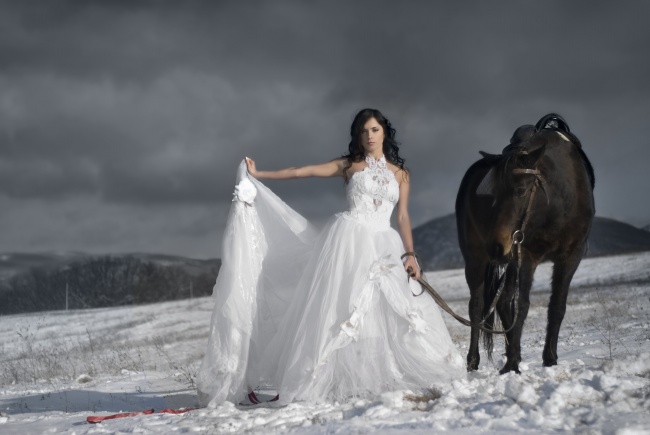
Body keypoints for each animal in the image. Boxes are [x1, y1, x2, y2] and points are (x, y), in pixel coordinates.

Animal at [456, 113, 592, 374]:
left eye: (520, 190)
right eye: (492, 193)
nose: (496, 246)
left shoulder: (572, 255)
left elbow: (557, 306)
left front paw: (549, 359)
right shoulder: (527, 255)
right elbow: (522, 306)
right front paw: (511, 365)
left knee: (503, 302)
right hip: (477, 259)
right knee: (477, 307)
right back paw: (473, 361)